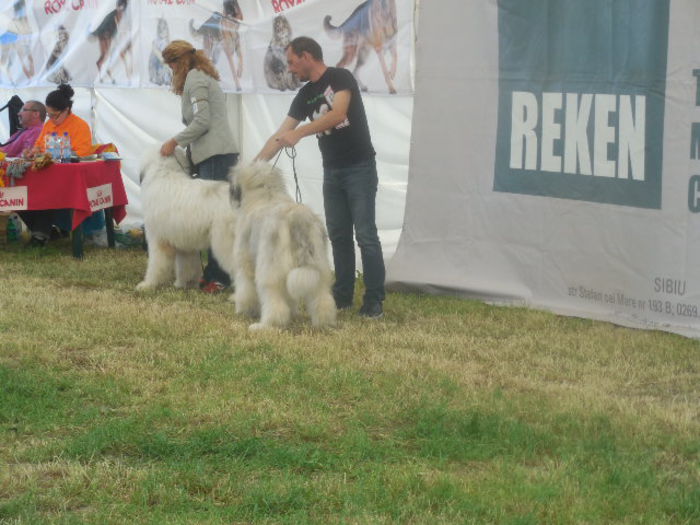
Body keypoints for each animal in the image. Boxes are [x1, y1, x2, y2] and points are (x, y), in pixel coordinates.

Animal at [135, 150, 237, 290]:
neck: (164, 172)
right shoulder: (184, 243)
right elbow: (186, 266)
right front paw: (183, 284)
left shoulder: (158, 239)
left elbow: (156, 264)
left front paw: (147, 285)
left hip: (225, 242)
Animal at [231, 162, 338, 330]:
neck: (265, 194)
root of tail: (297, 216)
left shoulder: (245, 264)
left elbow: (245, 289)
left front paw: (244, 310)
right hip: (319, 265)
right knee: (321, 295)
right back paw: (323, 323)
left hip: (270, 269)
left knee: (273, 299)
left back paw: (266, 325)